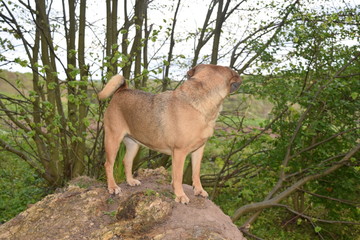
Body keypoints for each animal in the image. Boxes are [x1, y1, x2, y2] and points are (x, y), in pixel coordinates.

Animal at [98, 64, 242, 203]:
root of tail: (122, 90)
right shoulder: (179, 152)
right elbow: (178, 177)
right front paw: (180, 195)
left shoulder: (198, 151)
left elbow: (196, 173)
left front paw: (199, 190)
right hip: (113, 140)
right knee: (108, 164)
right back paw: (112, 187)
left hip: (133, 144)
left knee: (126, 161)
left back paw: (130, 181)